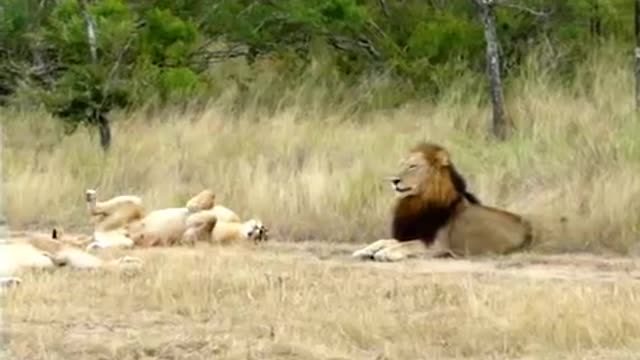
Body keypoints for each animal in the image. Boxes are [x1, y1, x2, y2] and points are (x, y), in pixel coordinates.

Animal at [356, 142, 536, 262]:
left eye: (413, 166)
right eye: (403, 165)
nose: (393, 180)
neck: (417, 202)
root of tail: (529, 228)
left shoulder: (437, 245)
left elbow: (407, 245)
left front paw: (385, 253)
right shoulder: (412, 233)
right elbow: (384, 240)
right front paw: (363, 250)